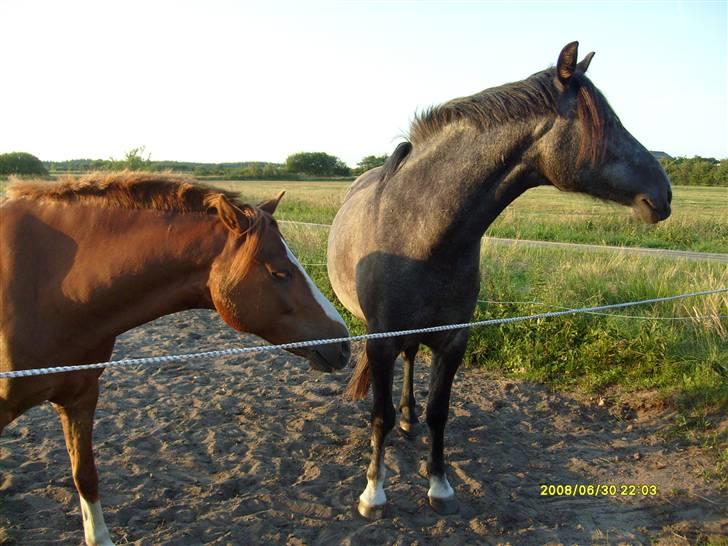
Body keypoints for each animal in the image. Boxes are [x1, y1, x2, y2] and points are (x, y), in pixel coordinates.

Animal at [328, 42, 672, 520]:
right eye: (608, 125)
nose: (664, 193)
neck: (421, 232)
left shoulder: (454, 340)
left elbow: (439, 412)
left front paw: (439, 485)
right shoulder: (380, 341)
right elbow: (378, 415)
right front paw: (373, 493)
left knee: (412, 362)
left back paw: (409, 416)